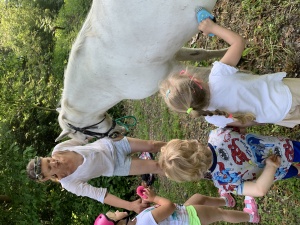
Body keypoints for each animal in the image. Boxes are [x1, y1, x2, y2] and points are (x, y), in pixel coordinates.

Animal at [56, 0, 226, 142]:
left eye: (87, 138)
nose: (118, 133)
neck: (104, 78)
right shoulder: (172, 56)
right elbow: (201, 53)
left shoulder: (168, 71)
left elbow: (206, 74)